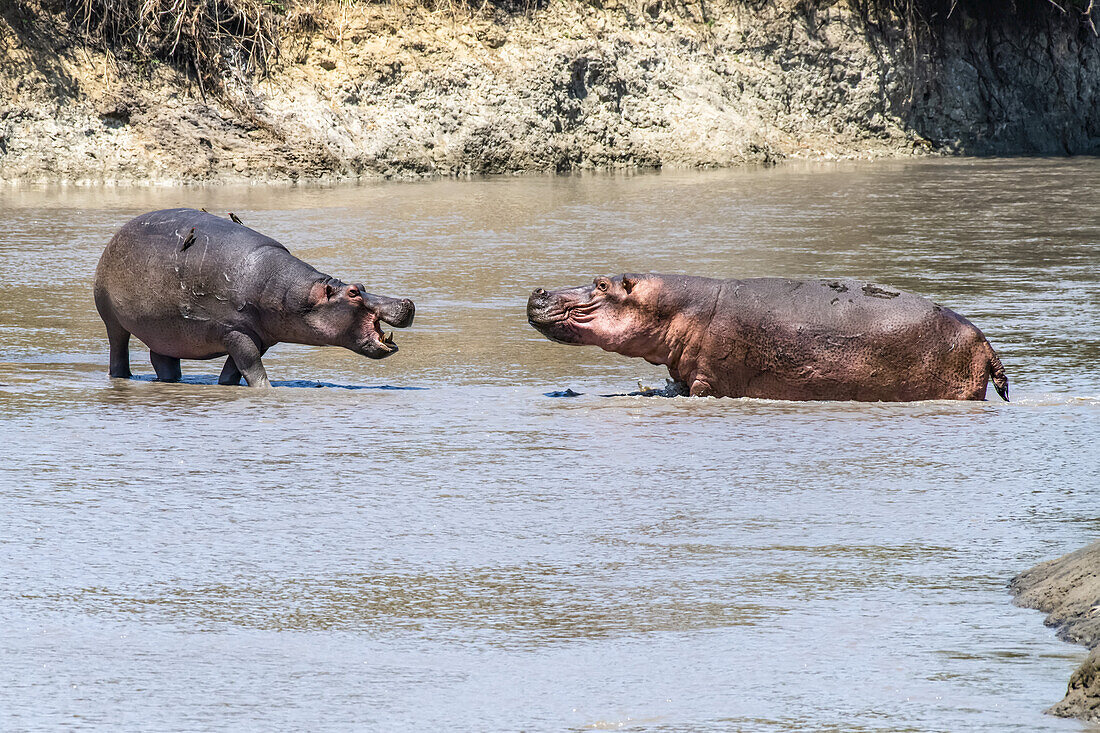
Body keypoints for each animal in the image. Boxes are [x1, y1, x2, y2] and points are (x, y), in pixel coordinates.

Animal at [92, 206, 413, 385]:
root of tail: (116, 234)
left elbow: (234, 371)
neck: (295, 296)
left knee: (162, 359)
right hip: (111, 318)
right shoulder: (236, 332)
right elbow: (252, 367)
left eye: (360, 284)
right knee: (118, 349)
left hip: (165, 329)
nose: (406, 302)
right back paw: (121, 377)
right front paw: (267, 391)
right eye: (354, 292)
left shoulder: (262, 337)